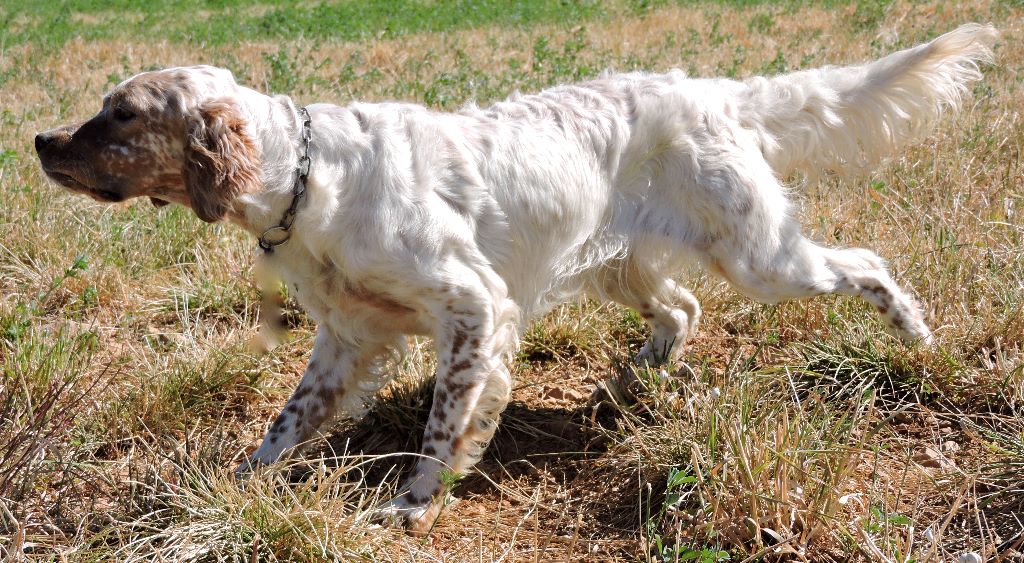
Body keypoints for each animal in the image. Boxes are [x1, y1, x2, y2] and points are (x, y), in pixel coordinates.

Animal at [36, 23, 995, 532]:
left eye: (120, 114)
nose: (41, 141)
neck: (306, 176)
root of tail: (713, 90)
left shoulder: (474, 306)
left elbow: (442, 423)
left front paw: (413, 506)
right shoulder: (347, 337)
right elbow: (285, 424)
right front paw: (235, 484)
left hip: (762, 256)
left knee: (863, 264)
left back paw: (915, 334)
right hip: (621, 265)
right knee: (681, 307)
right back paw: (631, 382)